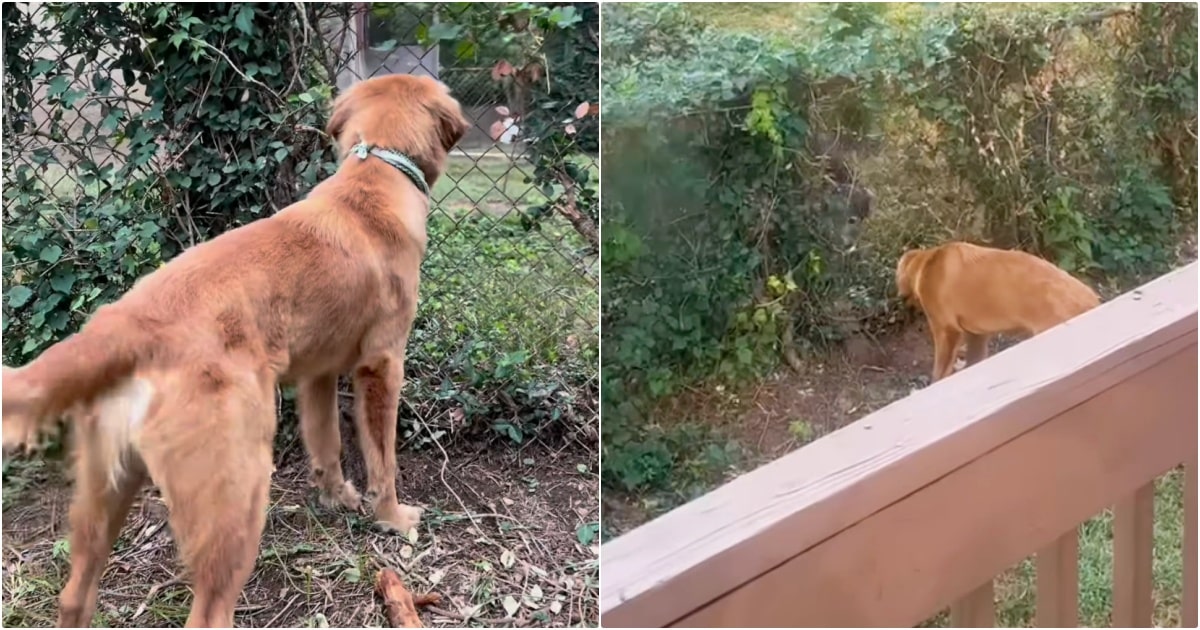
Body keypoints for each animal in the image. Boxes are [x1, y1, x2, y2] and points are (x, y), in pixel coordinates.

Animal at [0, 73, 468, 624]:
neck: (375, 171)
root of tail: (126, 322)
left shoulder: (317, 374)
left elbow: (326, 444)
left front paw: (336, 497)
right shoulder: (382, 364)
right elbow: (382, 460)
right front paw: (393, 516)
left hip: (102, 498)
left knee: (74, 596)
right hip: (237, 501)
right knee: (209, 612)